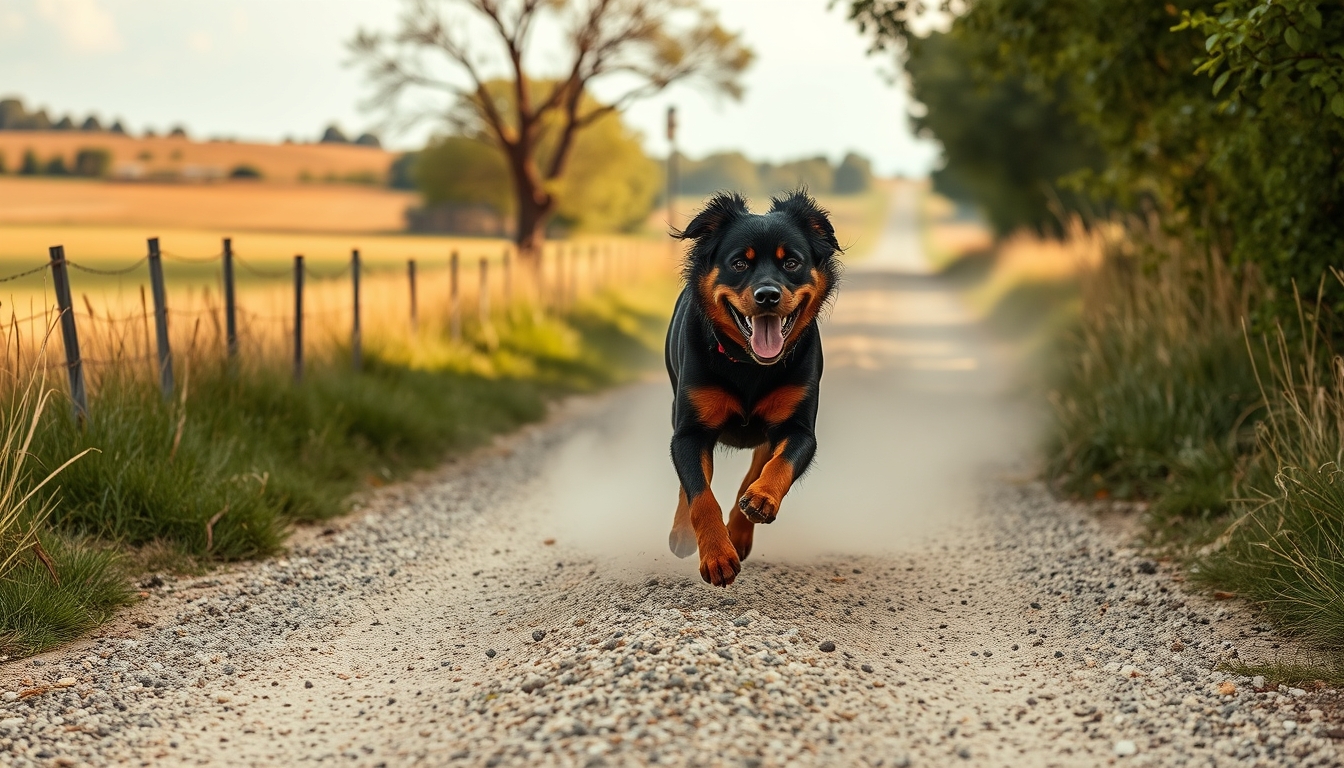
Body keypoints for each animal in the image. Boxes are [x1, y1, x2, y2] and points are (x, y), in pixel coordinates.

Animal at [663, 189, 838, 586]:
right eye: (740, 264)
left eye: (792, 263)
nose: (767, 295)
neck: (750, 365)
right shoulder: (690, 431)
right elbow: (699, 493)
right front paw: (717, 556)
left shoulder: (798, 429)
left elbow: (779, 463)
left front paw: (760, 500)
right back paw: (683, 533)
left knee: (759, 461)